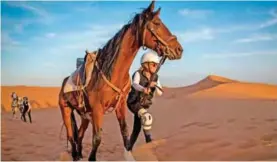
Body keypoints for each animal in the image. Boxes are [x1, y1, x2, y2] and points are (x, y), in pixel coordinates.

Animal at [58, 0, 182, 161]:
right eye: (157, 23)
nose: (179, 49)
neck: (111, 72)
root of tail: (64, 83)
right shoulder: (98, 110)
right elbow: (97, 138)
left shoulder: (120, 106)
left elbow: (125, 132)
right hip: (66, 110)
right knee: (71, 136)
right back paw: (75, 155)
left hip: (85, 115)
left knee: (79, 134)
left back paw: (78, 155)